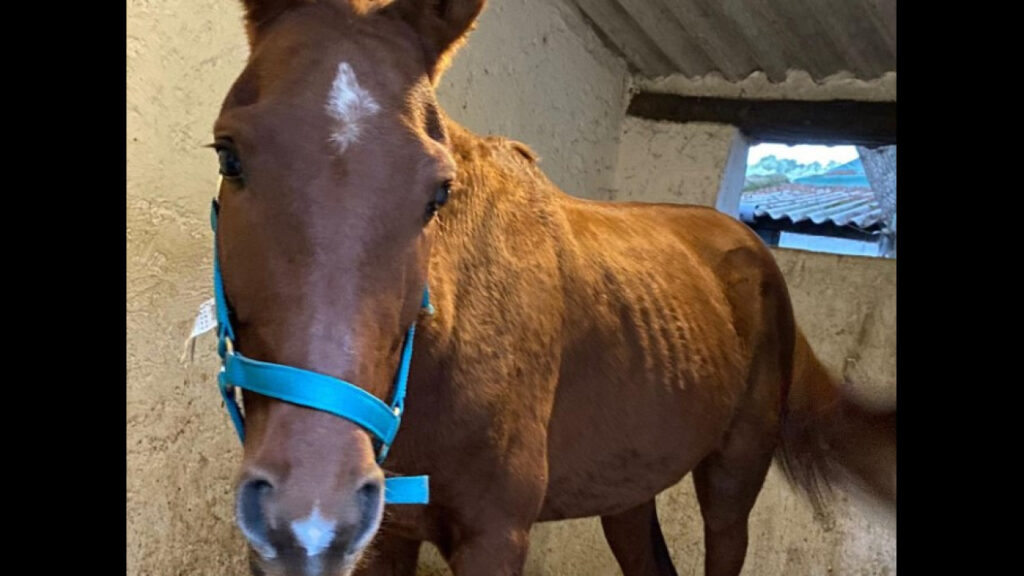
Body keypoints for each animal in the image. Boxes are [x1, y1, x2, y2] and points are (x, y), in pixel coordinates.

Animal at [207, 1, 896, 575]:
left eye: (438, 193)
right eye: (228, 155)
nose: (310, 517)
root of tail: (751, 245)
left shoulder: (496, 536)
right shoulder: (389, 538)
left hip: (732, 481)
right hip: (628, 486)